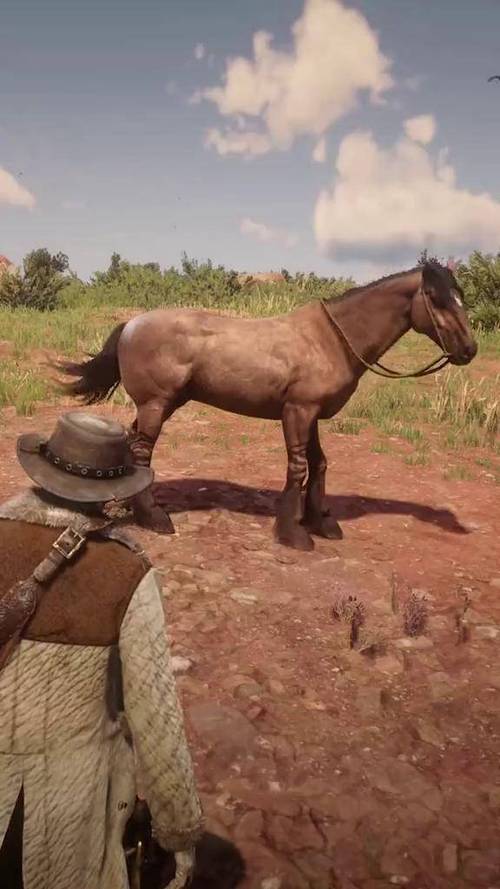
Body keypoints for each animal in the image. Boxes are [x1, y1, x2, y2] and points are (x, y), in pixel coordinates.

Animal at [57, 261, 477, 551]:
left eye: (459, 296)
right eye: (437, 298)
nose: (469, 350)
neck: (330, 339)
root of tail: (131, 324)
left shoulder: (311, 414)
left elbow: (319, 465)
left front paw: (320, 522)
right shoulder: (298, 411)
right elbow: (298, 468)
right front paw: (292, 532)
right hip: (156, 405)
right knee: (143, 453)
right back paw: (154, 518)